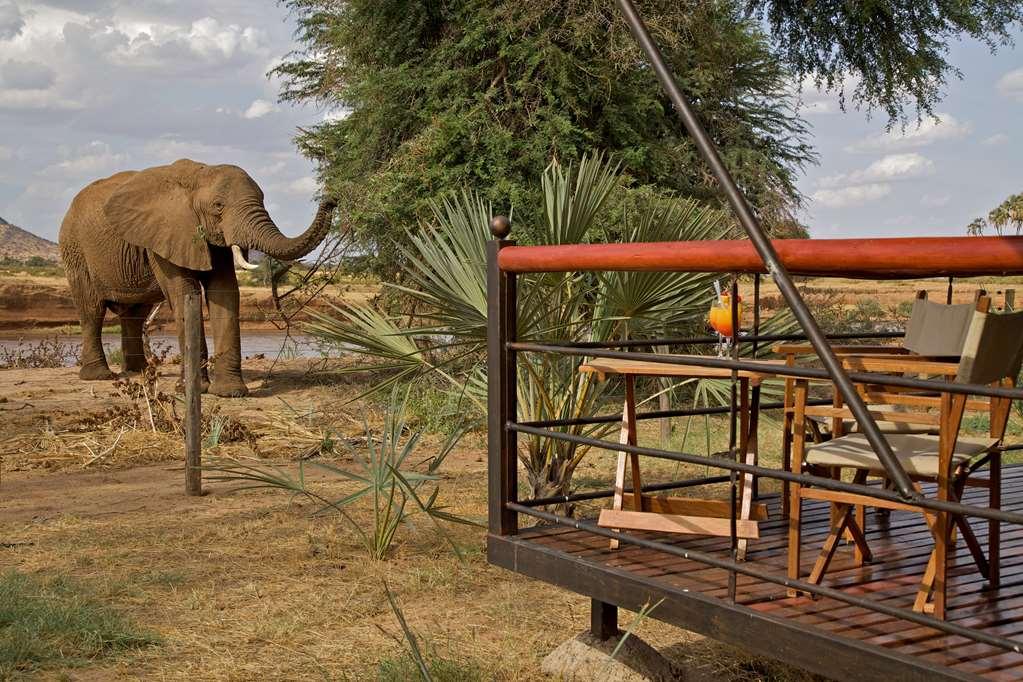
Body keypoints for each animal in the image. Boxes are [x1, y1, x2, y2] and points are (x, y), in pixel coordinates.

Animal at [58, 158, 335, 396]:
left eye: (263, 199)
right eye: (218, 206)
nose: (331, 199)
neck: (199, 175)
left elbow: (224, 291)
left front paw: (230, 392)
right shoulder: (167, 233)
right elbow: (184, 292)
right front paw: (191, 390)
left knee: (134, 314)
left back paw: (139, 372)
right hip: (75, 249)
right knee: (92, 309)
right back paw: (99, 376)